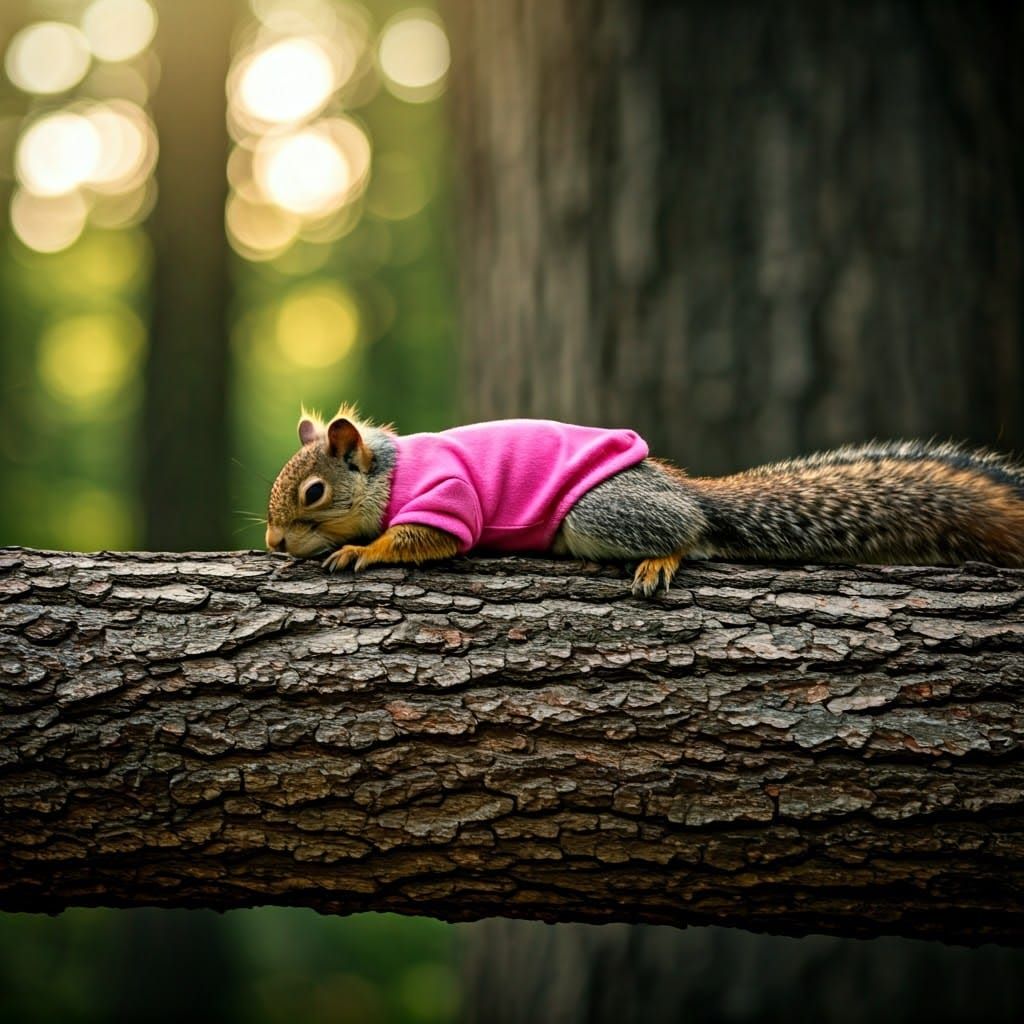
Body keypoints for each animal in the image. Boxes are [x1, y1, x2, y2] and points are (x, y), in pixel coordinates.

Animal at [265, 405, 1024, 597]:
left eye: (314, 492)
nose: (273, 543)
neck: (389, 472)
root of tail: (678, 486)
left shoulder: (447, 499)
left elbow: (424, 540)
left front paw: (363, 549)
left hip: (600, 512)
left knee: (686, 530)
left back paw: (665, 558)